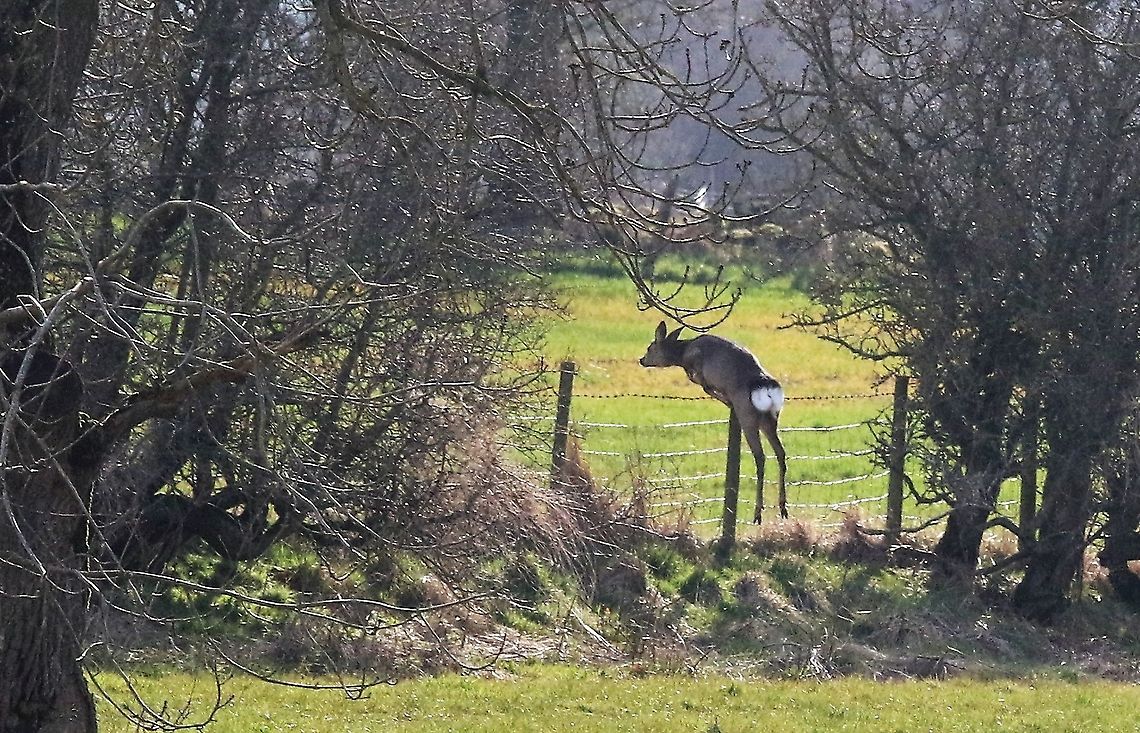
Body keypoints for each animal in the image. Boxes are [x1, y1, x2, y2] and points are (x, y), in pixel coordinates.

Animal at [639, 321, 787, 523]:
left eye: (650, 347)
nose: (641, 360)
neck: (684, 352)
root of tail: (765, 385)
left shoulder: (698, 369)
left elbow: (704, 386)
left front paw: (724, 399)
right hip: (770, 419)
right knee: (781, 453)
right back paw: (782, 507)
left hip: (747, 416)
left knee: (761, 456)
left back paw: (758, 513)